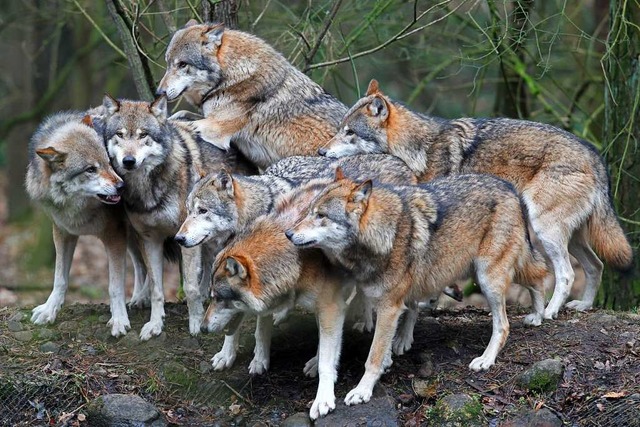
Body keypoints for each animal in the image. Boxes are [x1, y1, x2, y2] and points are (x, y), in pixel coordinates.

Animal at [26, 111, 136, 338]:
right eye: (90, 169)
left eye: (108, 161)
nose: (122, 187)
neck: (78, 208)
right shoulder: (63, 233)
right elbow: (59, 278)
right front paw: (49, 310)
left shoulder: (115, 236)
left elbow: (115, 286)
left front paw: (119, 320)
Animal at [157, 20, 348, 171]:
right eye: (167, 63)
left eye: (182, 64)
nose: (159, 92)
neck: (230, 76)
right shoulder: (210, 117)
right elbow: (180, 114)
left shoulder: (216, 129)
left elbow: (181, 123)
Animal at [288, 172, 548, 416]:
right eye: (309, 211)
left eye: (321, 215)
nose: (288, 233)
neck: (385, 234)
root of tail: (508, 186)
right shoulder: (376, 299)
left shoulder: (389, 307)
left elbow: (373, 357)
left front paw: (362, 391)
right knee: (538, 276)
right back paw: (537, 315)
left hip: (487, 278)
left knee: (506, 321)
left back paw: (487, 358)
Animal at [320, 79, 632, 320]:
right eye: (340, 129)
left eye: (350, 132)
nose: (322, 152)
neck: (417, 151)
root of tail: (594, 154)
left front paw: (431, 299)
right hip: (572, 237)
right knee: (596, 265)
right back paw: (584, 305)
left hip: (544, 230)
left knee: (566, 274)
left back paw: (548, 312)